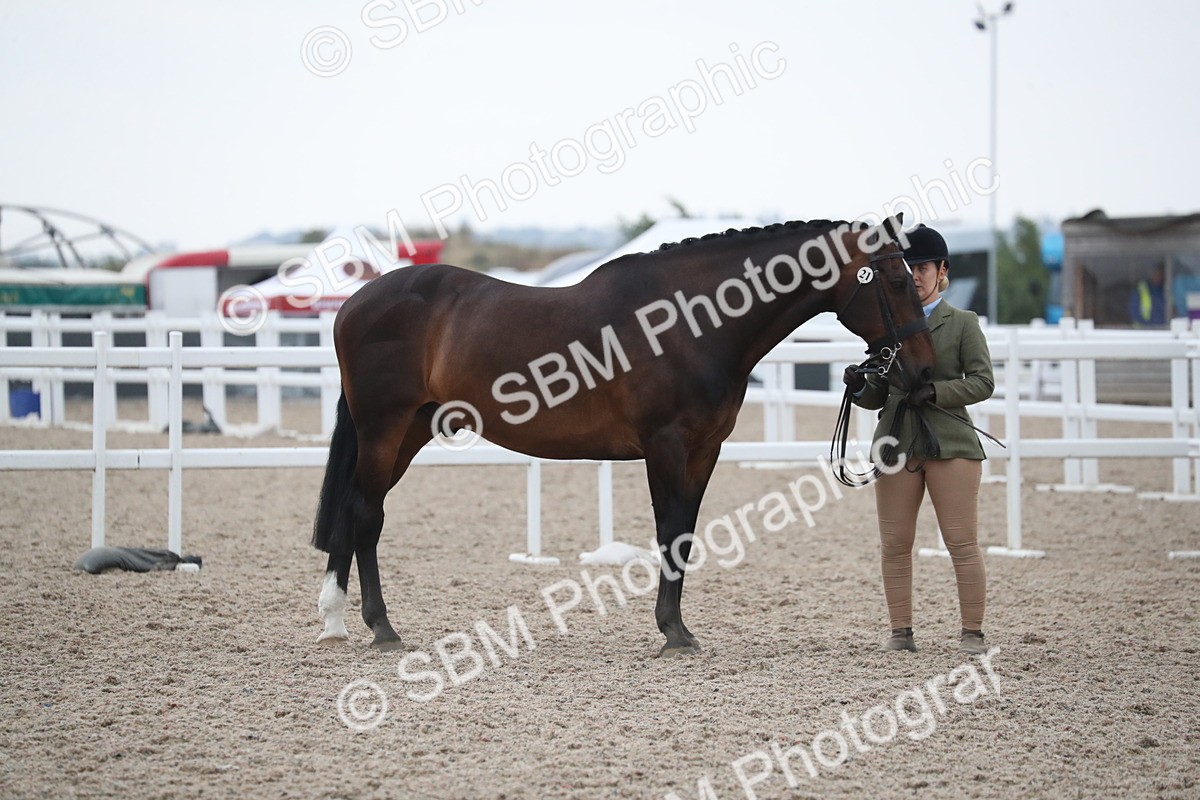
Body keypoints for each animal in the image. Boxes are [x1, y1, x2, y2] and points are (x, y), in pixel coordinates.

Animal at [312, 215, 935, 657]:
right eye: (895, 279)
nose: (925, 370)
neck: (688, 321)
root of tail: (354, 304)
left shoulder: (704, 450)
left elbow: (685, 533)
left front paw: (679, 630)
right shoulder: (664, 446)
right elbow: (667, 532)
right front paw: (672, 632)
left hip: (409, 430)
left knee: (356, 510)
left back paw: (336, 621)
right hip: (384, 428)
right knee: (366, 514)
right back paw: (379, 627)